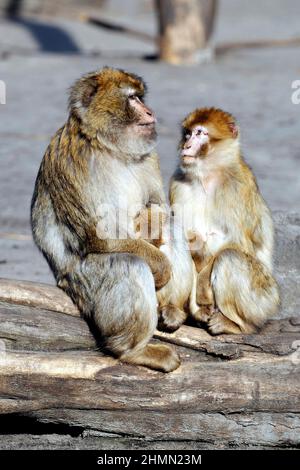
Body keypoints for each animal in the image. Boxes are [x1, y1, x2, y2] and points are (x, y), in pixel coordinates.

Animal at [31, 68, 179, 372]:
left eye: (141, 97)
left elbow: (159, 208)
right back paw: (134, 351)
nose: (149, 112)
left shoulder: (149, 156)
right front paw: (160, 267)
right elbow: (102, 234)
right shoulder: (75, 162)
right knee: (128, 263)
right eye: (132, 99)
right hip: (82, 283)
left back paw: (171, 309)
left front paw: (150, 221)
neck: (108, 147)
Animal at [170, 107, 280, 334]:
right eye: (188, 133)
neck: (208, 176)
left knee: (230, 257)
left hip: (264, 300)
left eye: (200, 133)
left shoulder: (236, 189)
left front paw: (202, 288)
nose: (186, 146)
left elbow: (238, 244)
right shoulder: (178, 184)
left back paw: (235, 324)